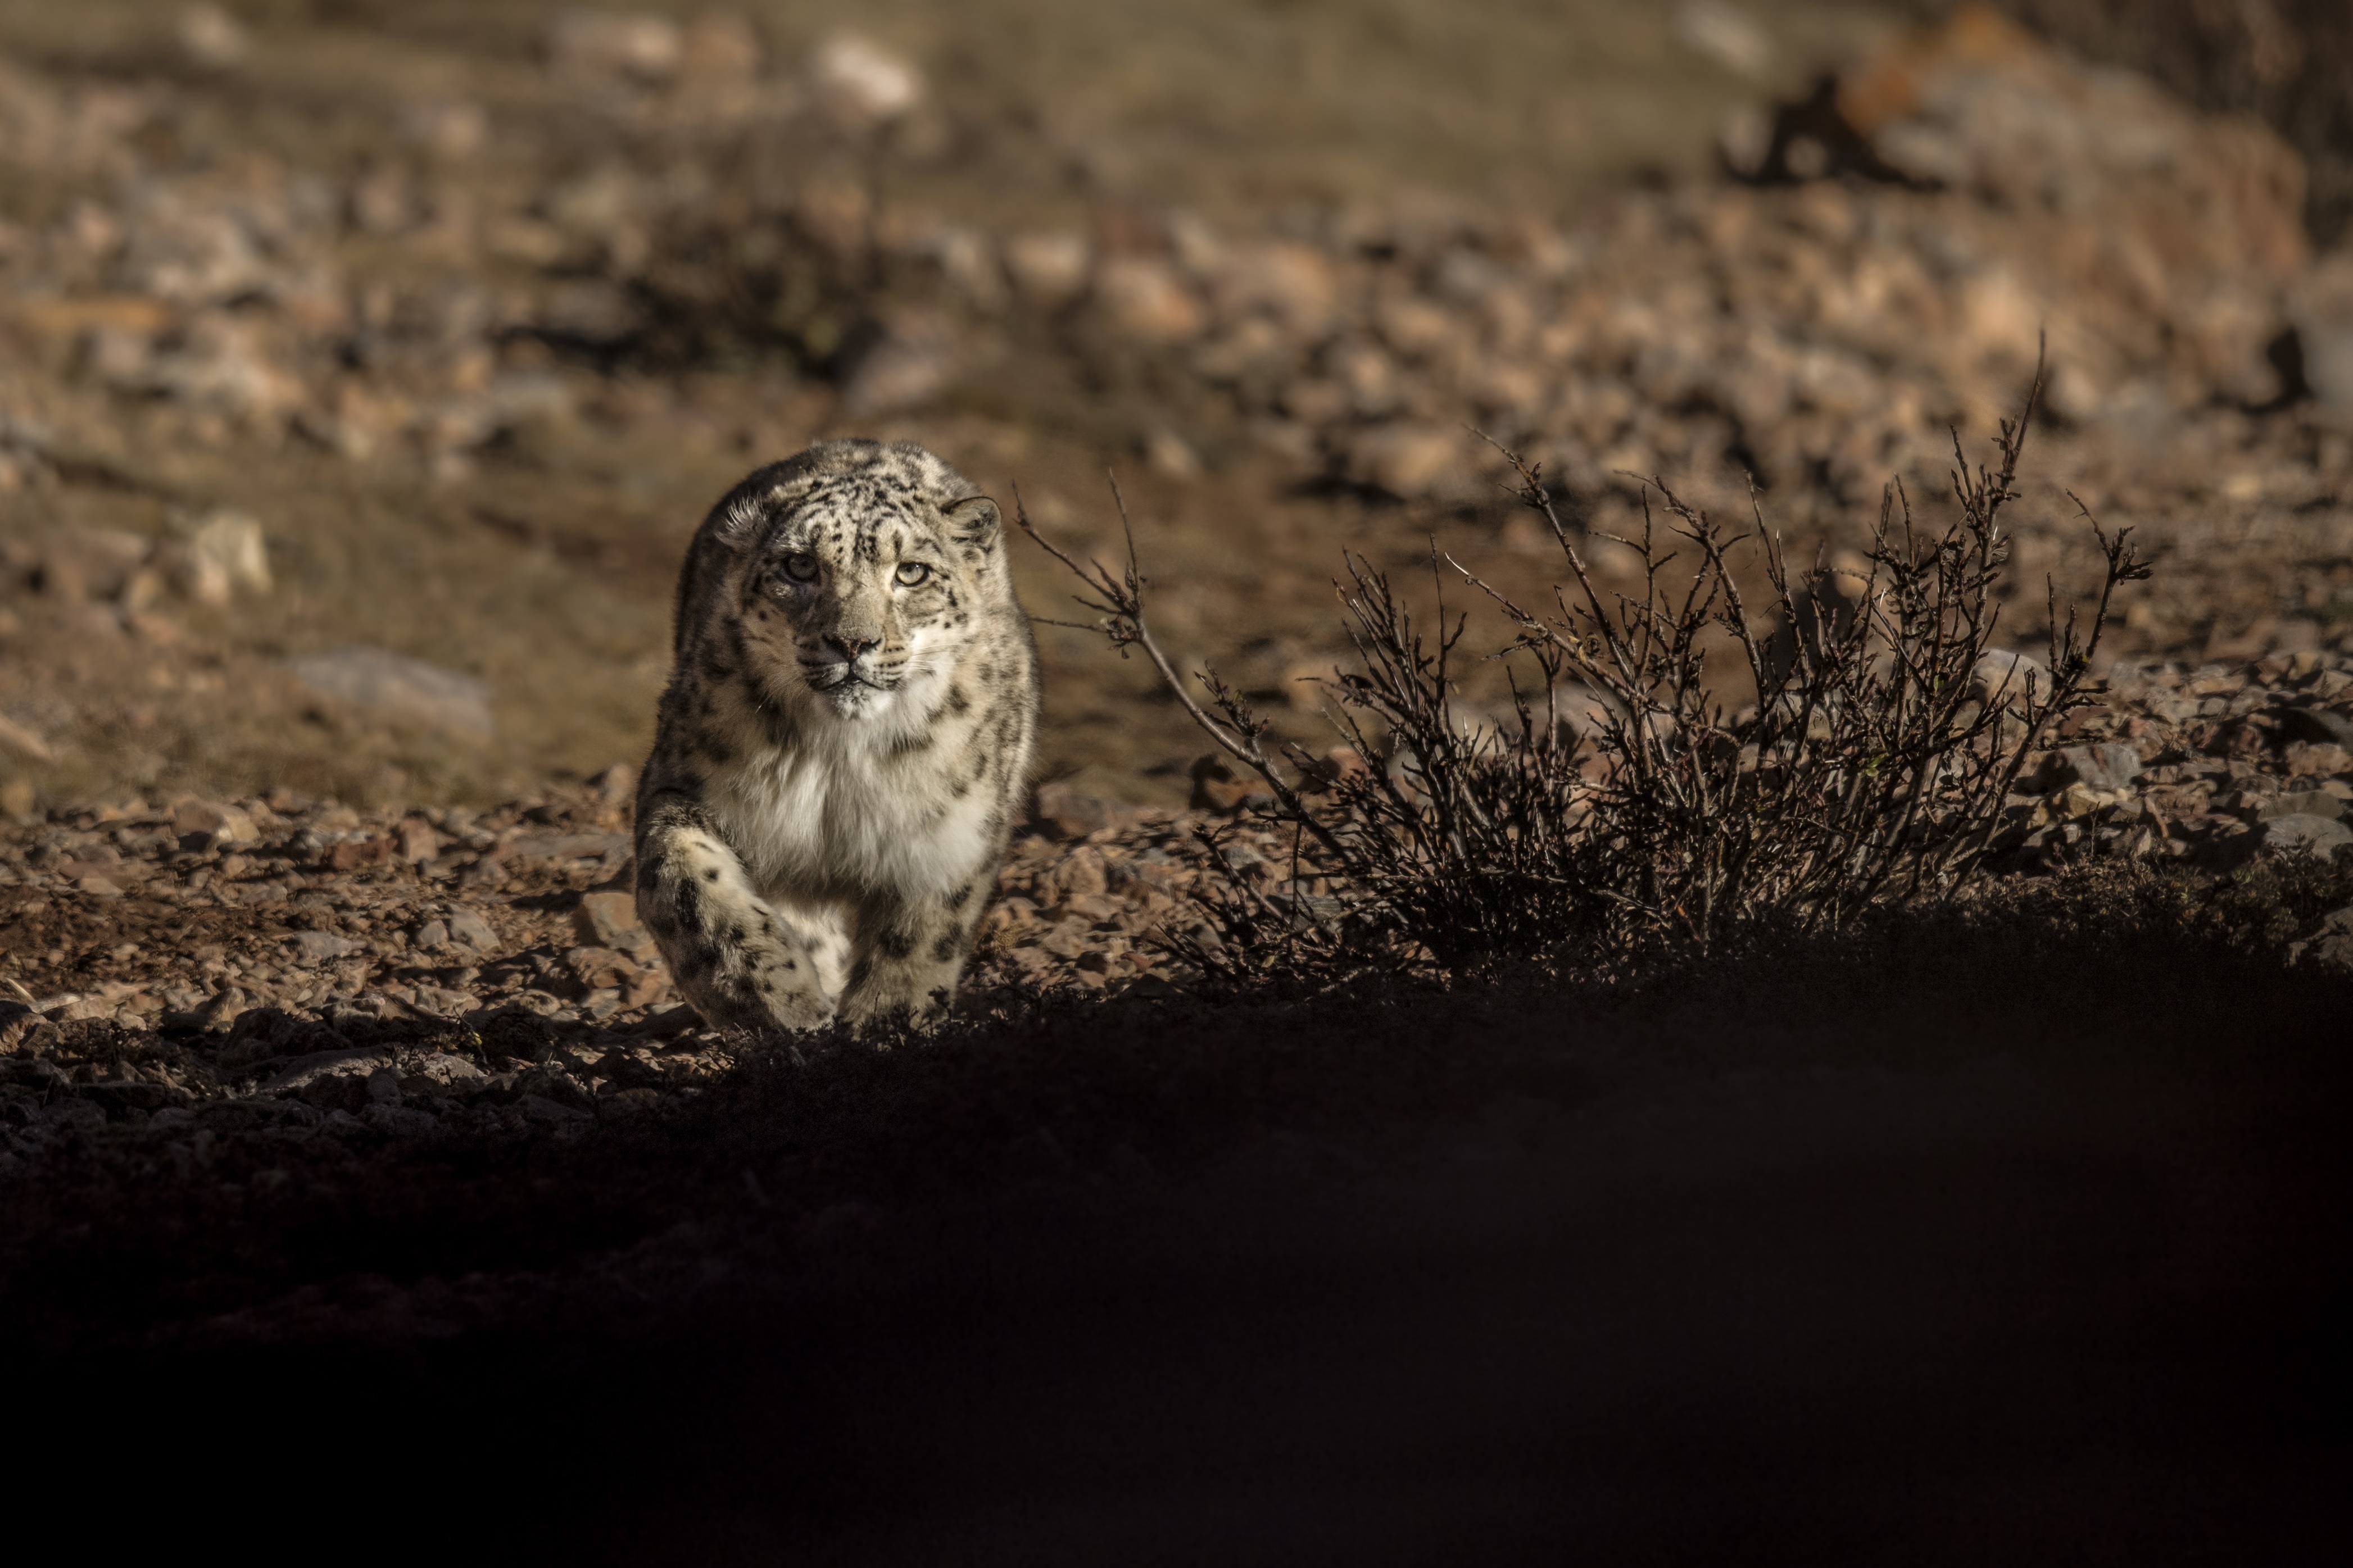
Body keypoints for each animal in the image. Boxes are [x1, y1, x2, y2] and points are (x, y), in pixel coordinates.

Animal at [645, 435, 1049, 1034]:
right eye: (799, 566)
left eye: (911, 572)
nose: (852, 642)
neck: (843, 757)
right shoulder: (682, 783)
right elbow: (680, 881)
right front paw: (771, 996)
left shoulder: (949, 833)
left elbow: (921, 934)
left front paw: (888, 1021)